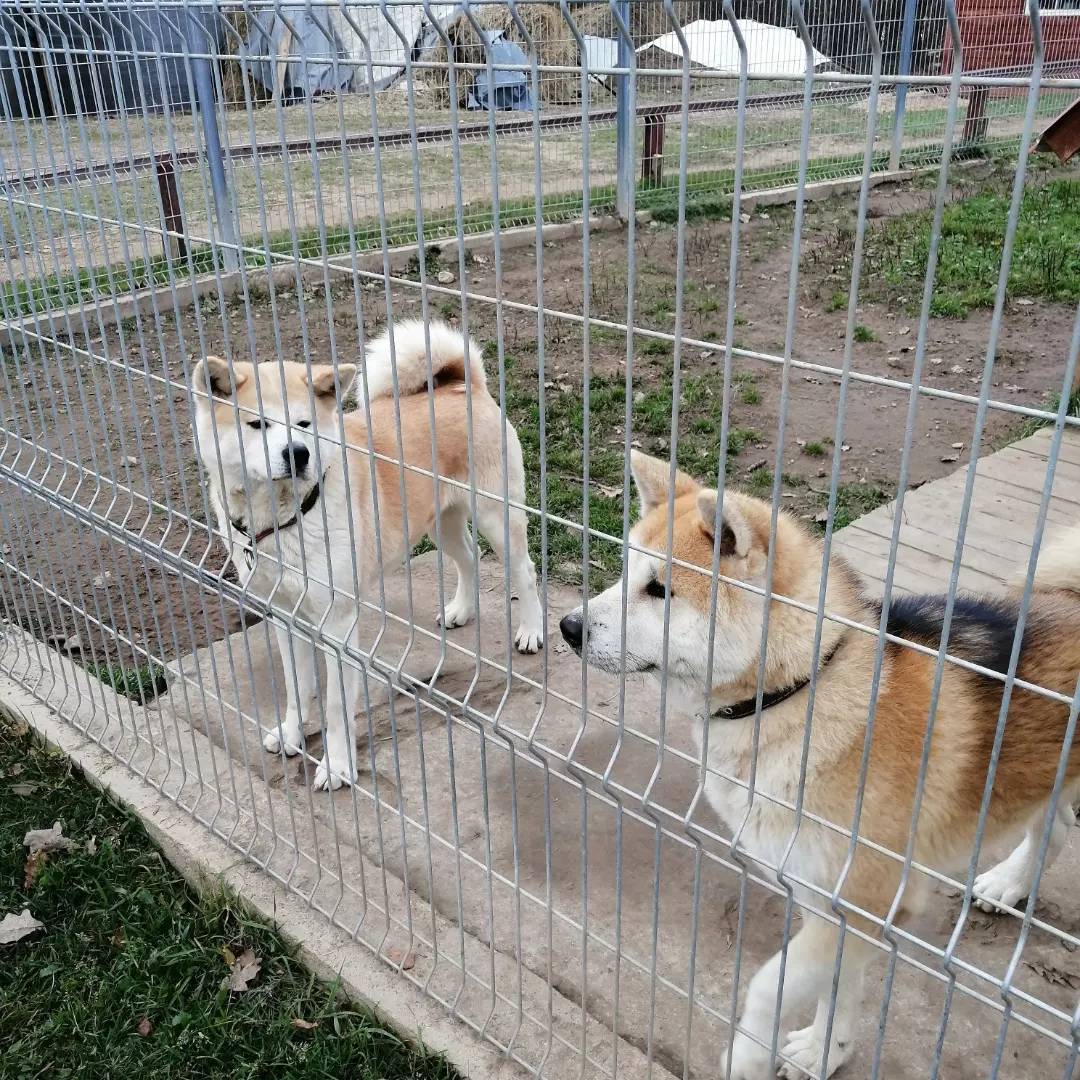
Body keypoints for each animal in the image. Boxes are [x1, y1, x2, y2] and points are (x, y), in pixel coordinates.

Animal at [191, 320, 544, 791]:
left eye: (304, 423)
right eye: (257, 424)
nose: (298, 453)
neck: (287, 516)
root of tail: (462, 384)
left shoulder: (338, 623)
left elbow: (337, 706)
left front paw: (338, 766)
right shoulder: (284, 616)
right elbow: (297, 687)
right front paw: (291, 735)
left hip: (496, 518)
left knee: (525, 570)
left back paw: (531, 630)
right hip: (438, 522)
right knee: (467, 558)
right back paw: (460, 610)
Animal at [560, 450, 1080, 1079]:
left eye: (660, 590)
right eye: (623, 574)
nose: (567, 628)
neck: (797, 690)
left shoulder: (862, 902)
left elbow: (769, 986)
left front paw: (749, 1054)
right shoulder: (822, 899)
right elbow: (838, 989)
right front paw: (827, 1050)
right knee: (1057, 829)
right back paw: (1010, 883)